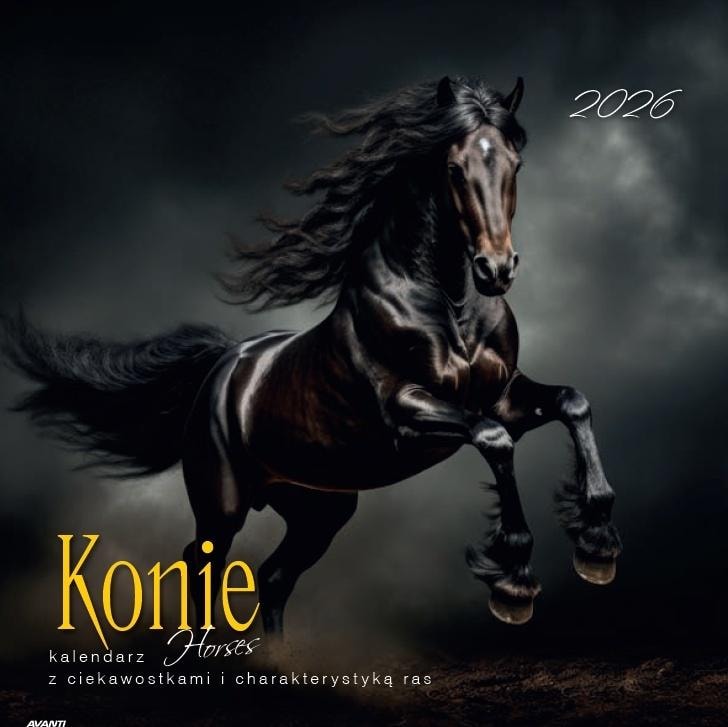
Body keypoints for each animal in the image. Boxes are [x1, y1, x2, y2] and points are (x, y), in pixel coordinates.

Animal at [1, 76, 622, 632]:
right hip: (223, 503)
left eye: (515, 165)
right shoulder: (408, 412)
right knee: (202, 564)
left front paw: (596, 544)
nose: (496, 270)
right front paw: (513, 581)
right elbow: (494, 441)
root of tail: (223, 367)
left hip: (318, 509)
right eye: (453, 169)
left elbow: (573, 402)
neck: (449, 305)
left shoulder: (504, 395)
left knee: (274, 577)